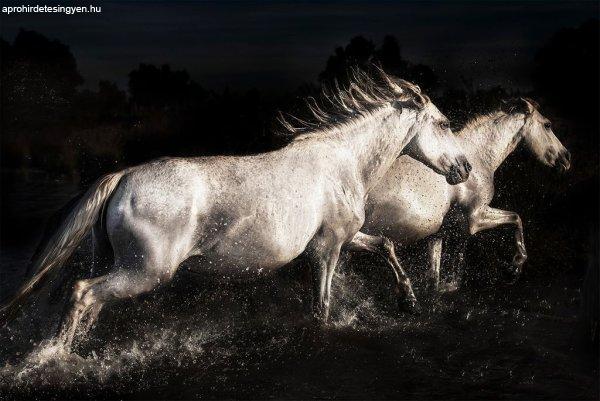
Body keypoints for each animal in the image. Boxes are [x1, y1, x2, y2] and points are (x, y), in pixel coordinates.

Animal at [0, 69, 472, 350]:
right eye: (445, 123)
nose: (464, 168)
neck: (344, 163)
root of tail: (124, 177)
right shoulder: (327, 249)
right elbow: (321, 307)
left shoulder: (343, 237)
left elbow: (387, 246)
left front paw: (409, 300)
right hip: (146, 271)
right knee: (82, 293)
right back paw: (56, 357)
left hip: (123, 267)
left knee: (90, 304)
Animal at [360, 97, 572, 290]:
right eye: (547, 125)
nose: (566, 158)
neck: (478, 158)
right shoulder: (476, 218)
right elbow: (516, 218)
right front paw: (514, 269)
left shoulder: (437, 235)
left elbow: (435, 281)